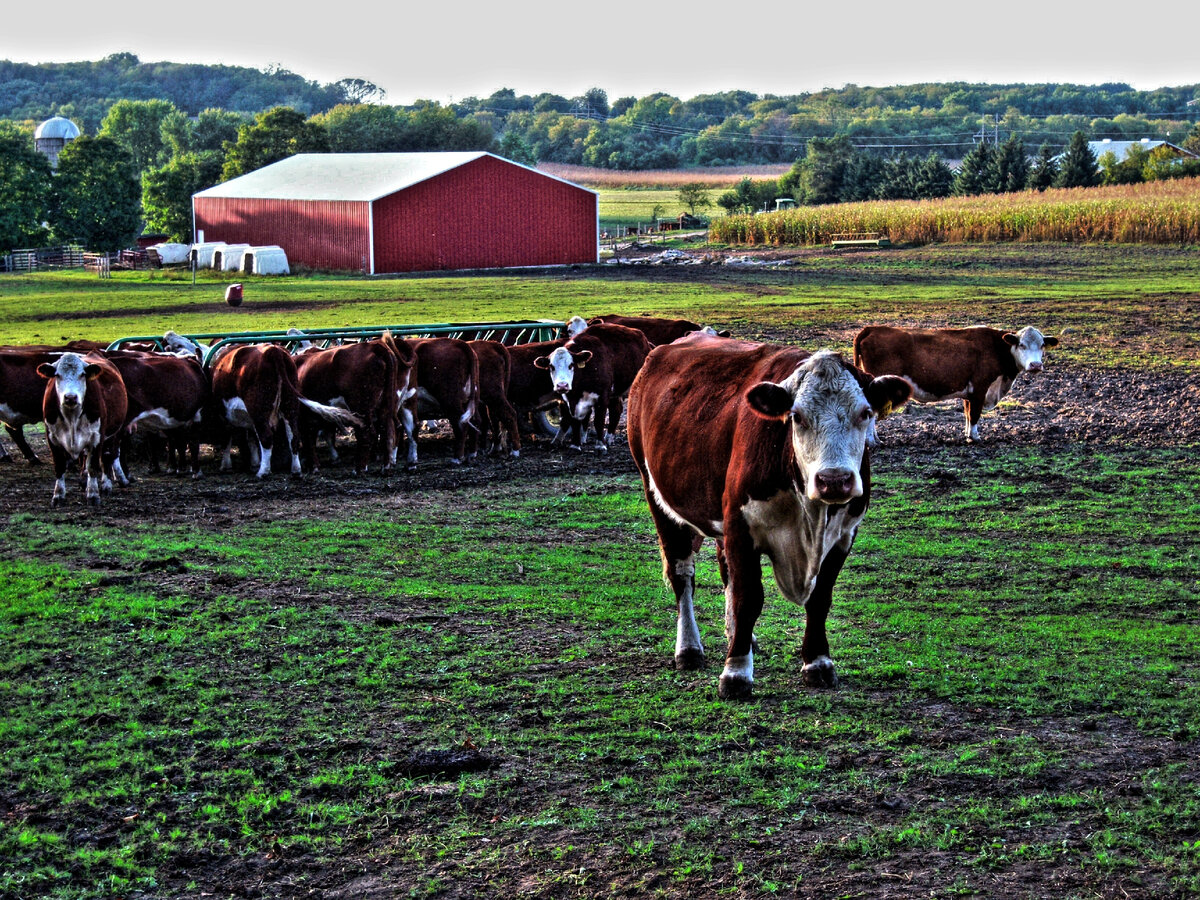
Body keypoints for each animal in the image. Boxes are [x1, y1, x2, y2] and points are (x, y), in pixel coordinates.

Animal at [37, 352, 129, 507]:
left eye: (82, 375)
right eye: (57, 375)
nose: (70, 397)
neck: (71, 417)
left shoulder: (97, 437)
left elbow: (93, 466)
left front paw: (93, 495)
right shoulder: (52, 438)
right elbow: (60, 466)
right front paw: (58, 496)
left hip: (111, 435)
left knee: (106, 457)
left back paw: (106, 485)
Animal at [210, 344, 361, 478]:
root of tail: (273, 351)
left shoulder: (225, 416)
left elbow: (228, 438)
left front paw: (226, 465)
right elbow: (251, 439)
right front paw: (253, 463)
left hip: (259, 410)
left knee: (266, 437)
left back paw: (263, 472)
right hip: (290, 405)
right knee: (293, 437)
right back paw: (296, 470)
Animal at [294, 334, 402, 475]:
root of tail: (375, 346)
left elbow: (307, 438)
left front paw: (313, 466)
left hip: (361, 406)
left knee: (367, 433)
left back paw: (359, 469)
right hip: (385, 404)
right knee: (387, 431)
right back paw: (386, 466)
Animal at [626, 335, 912, 699]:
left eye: (865, 413)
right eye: (797, 416)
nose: (834, 480)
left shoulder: (844, 535)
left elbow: (819, 598)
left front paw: (818, 662)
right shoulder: (740, 526)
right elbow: (749, 597)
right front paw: (735, 673)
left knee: (725, 572)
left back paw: (741, 636)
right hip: (658, 497)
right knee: (682, 575)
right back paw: (689, 649)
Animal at [852, 325, 1059, 442]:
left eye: (1042, 345)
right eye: (1022, 345)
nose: (1035, 365)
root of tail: (873, 328)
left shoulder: (969, 393)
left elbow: (968, 414)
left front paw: (968, 434)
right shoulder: (980, 388)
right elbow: (974, 415)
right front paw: (975, 438)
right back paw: (872, 441)